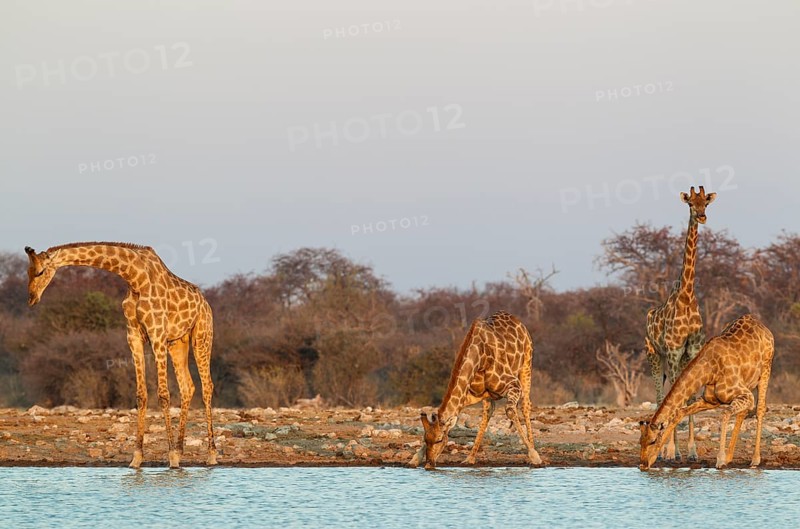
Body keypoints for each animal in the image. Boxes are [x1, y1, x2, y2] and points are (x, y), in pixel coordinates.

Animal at [24, 242, 216, 469]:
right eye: (28, 272)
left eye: (40, 271)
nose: (31, 298)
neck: (135, 278)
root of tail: (206, 304)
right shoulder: (133, 335)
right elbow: (141, 394)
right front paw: (137, 458)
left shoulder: (157, 333)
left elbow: (163, 394)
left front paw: (170, 458)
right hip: (177, 343)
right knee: (188, 387)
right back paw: (180, 451)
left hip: (202, 335)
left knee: (207, 386)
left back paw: (210, 454)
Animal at [408, 311, 541, 470]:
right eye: (425, 439)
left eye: (440, 440)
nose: (429, 464)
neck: (479, 357)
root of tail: (517, 320)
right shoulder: (469, 395)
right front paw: (414, 459)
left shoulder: (513, 384)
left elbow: (510, 411)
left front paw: (534, 455)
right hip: (488, 394)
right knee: (488, 412)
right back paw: (470, 458)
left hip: (526, 365)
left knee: (525, 405)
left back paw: (533, 451)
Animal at [639, 314, 774, 470]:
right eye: (640, 441)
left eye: (652, 441)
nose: (643, 464)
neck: (709, 371)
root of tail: (763, 327)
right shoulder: (710, 401)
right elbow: (680, 412)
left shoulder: (745, 394)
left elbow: (725, 414)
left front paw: (720, 460)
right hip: (748, 381)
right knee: (743, 412)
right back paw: (730, 457)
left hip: (765, 370)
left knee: (759, 409)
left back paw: (755, 459)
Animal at [644, 185, 716, 461]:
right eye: (690, 204)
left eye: (706, 202)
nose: (702, 216)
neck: (686, 296)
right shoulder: (673, 351)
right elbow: (673, 396)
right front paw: (671, 452)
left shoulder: (692, 350)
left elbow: (689, 398)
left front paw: (693, 452)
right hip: (654, 354)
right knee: (659, 394)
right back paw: (664, 450)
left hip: (679, 358)